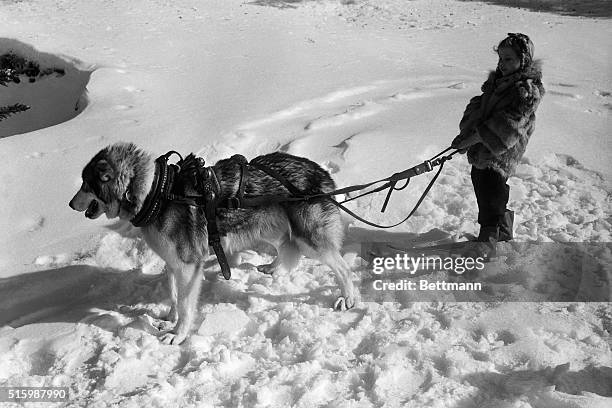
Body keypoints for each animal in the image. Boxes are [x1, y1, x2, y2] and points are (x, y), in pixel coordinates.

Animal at [69, 143, 356, 344]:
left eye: (85, 184)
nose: (70, 204)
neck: (156, 192)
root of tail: (321, 172)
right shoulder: (173, 263)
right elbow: (174, 296)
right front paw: (170, 320)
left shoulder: (188, 266)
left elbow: (186, 305)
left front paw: (178, 335)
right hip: (266, 226)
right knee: (286, 246)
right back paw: (273, 268)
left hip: (309, 238)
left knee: (341, 267)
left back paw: (348, 298)